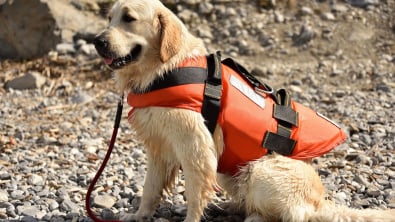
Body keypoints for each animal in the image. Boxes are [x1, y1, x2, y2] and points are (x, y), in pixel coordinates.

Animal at [93, 0, 395, 221]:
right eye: (109, 18)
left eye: (129, 18)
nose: (97, 41)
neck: (163, 69)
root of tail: (319, 202)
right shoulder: (159, 146)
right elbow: (150, 188)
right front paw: (139, 215)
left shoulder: (195, 147)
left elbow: (195, 192)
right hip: (231, 172)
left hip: (261, 170)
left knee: (291, 215)